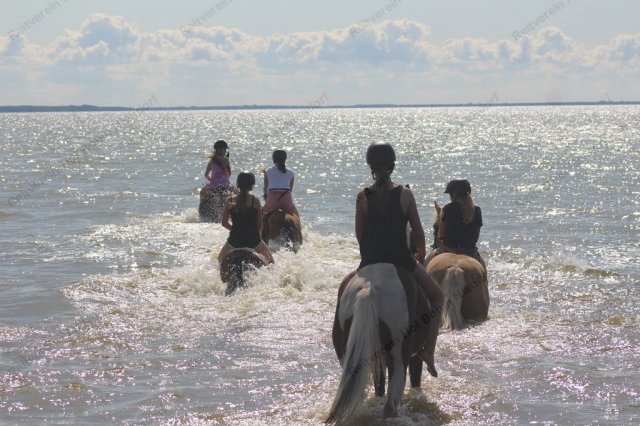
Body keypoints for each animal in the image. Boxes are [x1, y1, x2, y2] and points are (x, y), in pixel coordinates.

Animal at [326, 263, 435, 423]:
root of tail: (369, 288)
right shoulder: (416, 354)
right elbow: (416, 378)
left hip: (347, 355)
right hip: (399, 360)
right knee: (390, 406)